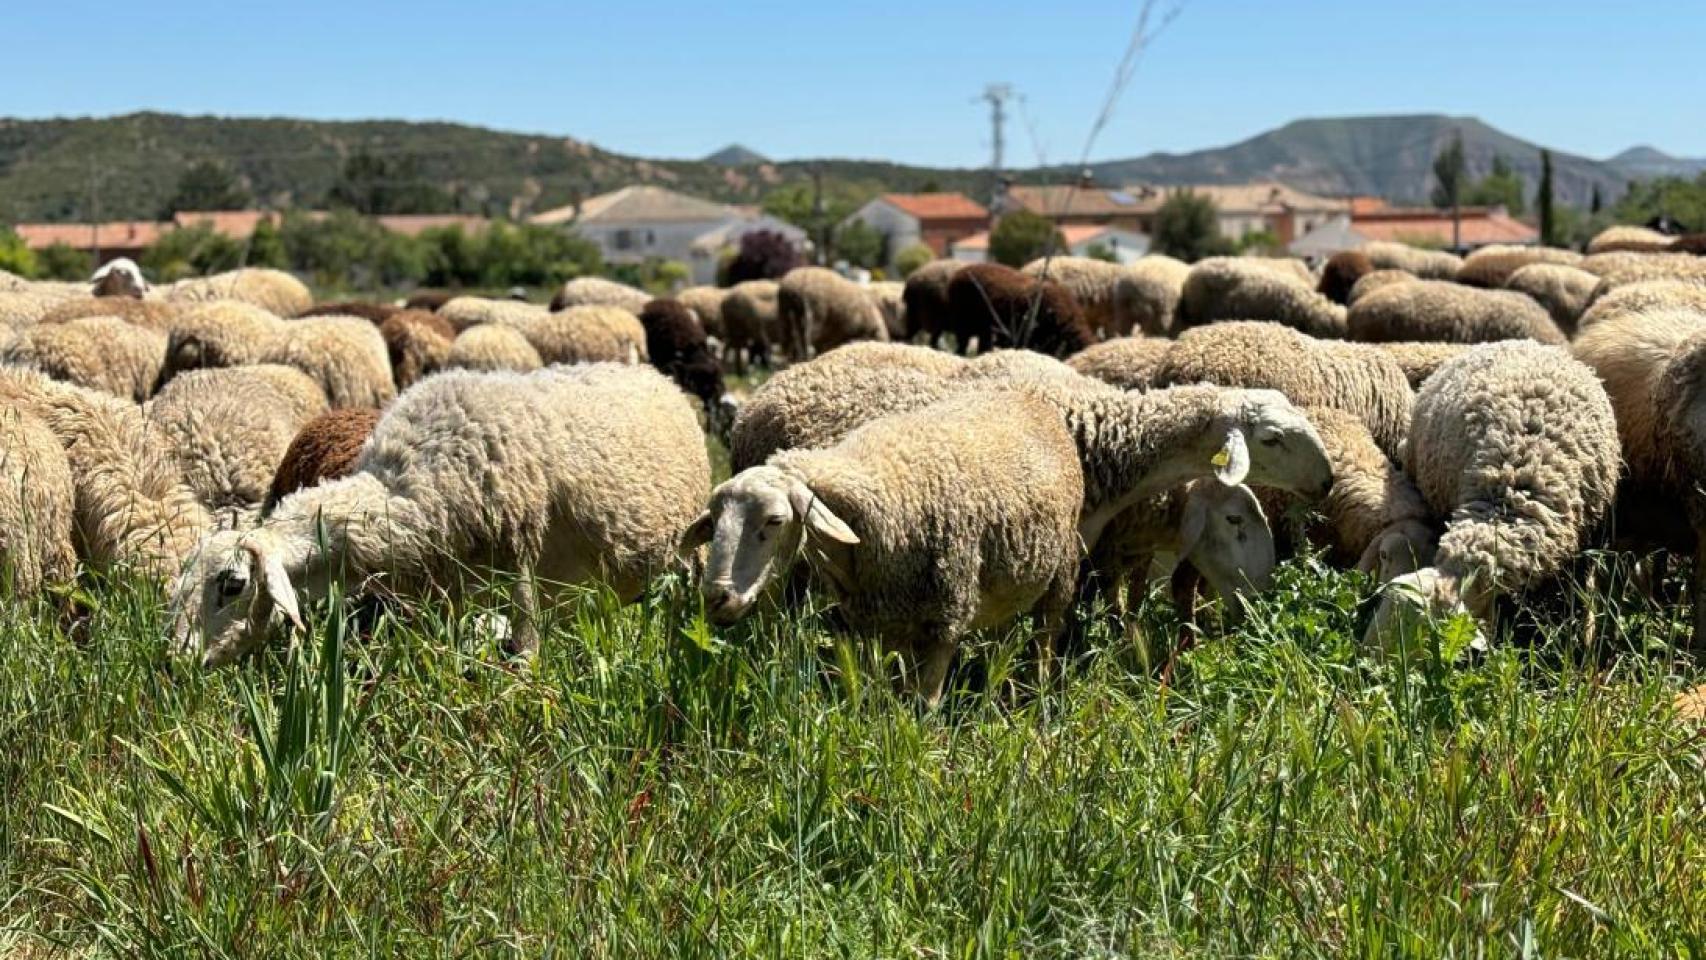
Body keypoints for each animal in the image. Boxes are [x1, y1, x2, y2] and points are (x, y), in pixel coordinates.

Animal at [170, 363, 712, 667]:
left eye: (233, 585)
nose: (176, 663)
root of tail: (656, 376)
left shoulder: (520, 555)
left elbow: (527, 651)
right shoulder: (448, 591)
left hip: (690, 546)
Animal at [685, 390, 1085, 703]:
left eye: (774, 520)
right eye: (714, 521)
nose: (716, 598)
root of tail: (1031, 399)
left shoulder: (947, 616)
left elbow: (925, 704)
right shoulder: (885, 621)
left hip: (1062, 571)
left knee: (1045, 639)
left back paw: (1038, 697)